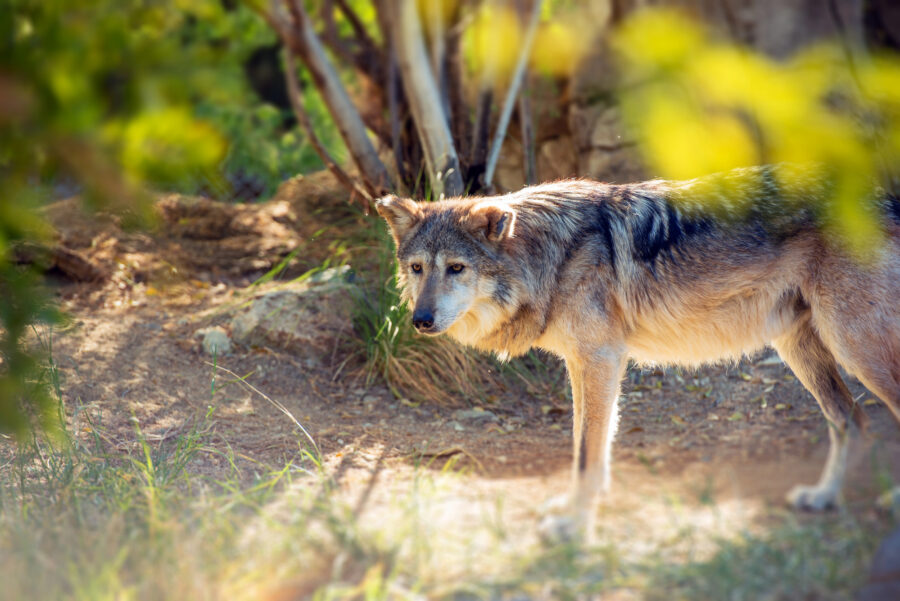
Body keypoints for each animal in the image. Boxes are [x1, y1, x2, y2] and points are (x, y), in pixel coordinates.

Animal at [376, 165, 900, 541]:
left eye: (457, 268)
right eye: (418, 268)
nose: (421, 320)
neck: (553, 257)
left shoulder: (601, 360)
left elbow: (587, 453)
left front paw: (573, 526)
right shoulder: (583, 364)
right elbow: (586, 445)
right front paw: (577, 508)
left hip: (854, 347)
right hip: (802, 349)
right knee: (852, 418)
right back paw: (824, 497)